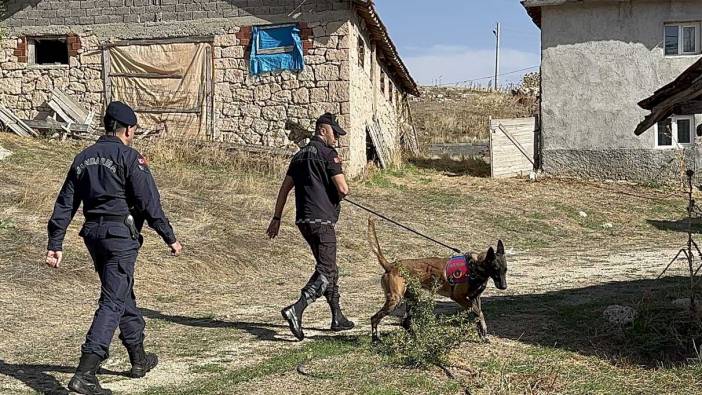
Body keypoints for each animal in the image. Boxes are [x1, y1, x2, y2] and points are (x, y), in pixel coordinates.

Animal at [366, 218, 508, 342]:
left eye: (505, 270)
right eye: (495, 269)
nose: (504, 287)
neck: (476, 266)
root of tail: (390, 266)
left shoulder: (475, 298)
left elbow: (479, 316)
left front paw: (483, 335)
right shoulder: (459, 297)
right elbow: (479, 314)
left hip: (413, 298)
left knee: (405, 321)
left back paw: (416, 339)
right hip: (395, 300)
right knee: (375, 318)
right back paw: (375, 340)